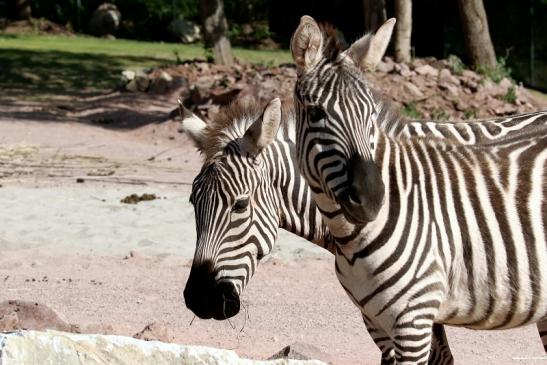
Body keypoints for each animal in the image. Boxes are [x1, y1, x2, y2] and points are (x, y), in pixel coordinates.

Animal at [292, 15, 547, 362]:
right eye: (316, 112)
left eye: (371, 114)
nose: (372, 199)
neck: (349, 239)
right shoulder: (377, 321)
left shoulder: (414, 320)